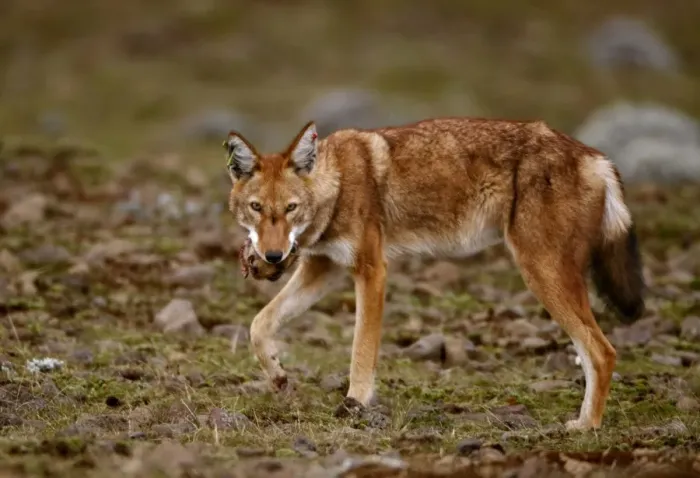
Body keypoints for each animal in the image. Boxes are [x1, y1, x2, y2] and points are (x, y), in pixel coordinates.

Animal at [224, 117, 644, 430]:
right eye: (256, 208)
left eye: (290, 208)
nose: (273, 256)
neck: (337, 185)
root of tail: (597, 157)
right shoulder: (321, 269)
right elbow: (259, 325)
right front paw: (278, 376)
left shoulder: (372, 272)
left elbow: (362, 349)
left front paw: (355, 403)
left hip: (542, 274)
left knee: (602, 352)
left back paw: (586, 427)